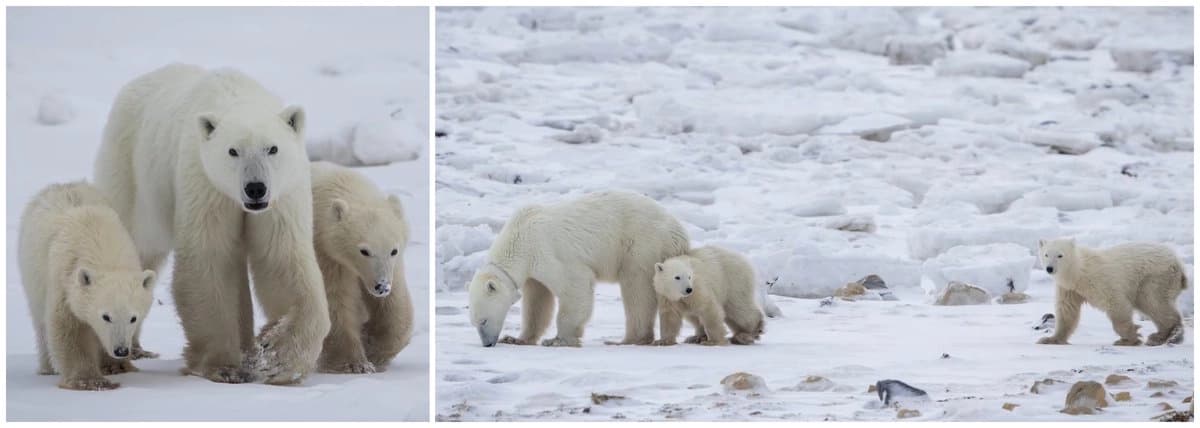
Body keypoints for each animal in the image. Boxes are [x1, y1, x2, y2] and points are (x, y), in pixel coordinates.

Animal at [18, 182, 157, 390]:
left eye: (133, 318)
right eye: (106, 316)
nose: (121, 350)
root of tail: (62, 185)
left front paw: (116, 367)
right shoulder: (65, 282)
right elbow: (71, 328)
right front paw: (90, 381)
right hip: (33, 277)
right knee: (40, 323)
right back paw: (47, 368)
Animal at [92, 63, 330, 385]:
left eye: (272, 148)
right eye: (232, 151)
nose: (255, 188)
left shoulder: (281, 196)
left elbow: (281, 259)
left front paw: (278, 358)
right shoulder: (207, 185)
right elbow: (209, 261)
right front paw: (224, 367)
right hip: (131, 174)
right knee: (135, 246)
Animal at [310, 161, 414, 374]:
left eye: (393, 250)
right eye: (364, 251)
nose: (381, 286)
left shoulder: (393, 267)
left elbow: (395, 305)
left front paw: (374, 348)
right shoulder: (327, 254)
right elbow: (336, 301)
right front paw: (355, 363)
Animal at [467, 190, 690, 347]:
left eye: (483, 321)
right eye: (474, 323)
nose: (487, 344)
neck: (519, 237)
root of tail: (679, 232)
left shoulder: (547, 252)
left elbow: (574, 286)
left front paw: (558, 340)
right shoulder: (533, 271)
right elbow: (537, 300)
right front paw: (516, 338)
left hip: (641, 245)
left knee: (636, 288)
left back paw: (627, 339)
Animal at [1036, 237, 1188, 347]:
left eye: (1060, 255)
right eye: (1046, 254)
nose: (1050, 268)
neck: (1078, 272)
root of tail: (1178, 262)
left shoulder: (1100, 281)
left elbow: (1115, 303)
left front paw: (1128, 339)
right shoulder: (1070, 289)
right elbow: (1067, 311)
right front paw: (1050, 339)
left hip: (1153, 277)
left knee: (1153, 302)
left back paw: (1167, 335)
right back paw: (1162, 336)